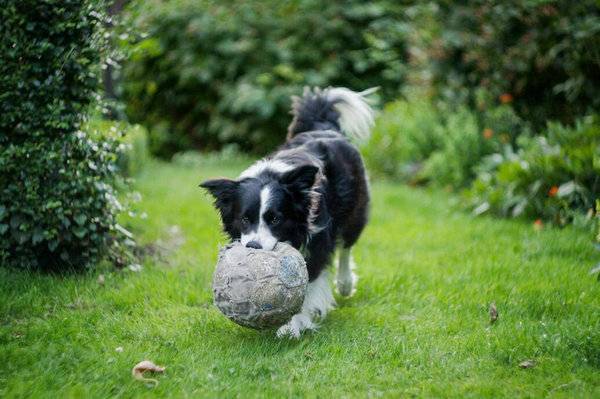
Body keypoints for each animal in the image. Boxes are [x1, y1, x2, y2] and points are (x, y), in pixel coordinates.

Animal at [202, 86, 376, 338]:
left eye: (275, 219)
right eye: (245, 219)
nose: (253, 247)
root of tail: (324, 127)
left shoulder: (317, 237)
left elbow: (307, 280)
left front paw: (292, 326)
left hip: (356, 206)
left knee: (347, 245)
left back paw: (345, 284)